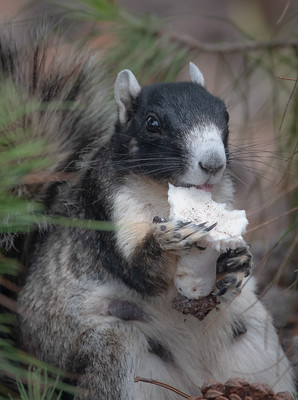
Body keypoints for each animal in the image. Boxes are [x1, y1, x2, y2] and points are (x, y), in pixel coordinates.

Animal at [0, 22, 294, 400]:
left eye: (226, 115)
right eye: (152, 123)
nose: (213, 163)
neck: (163, 189)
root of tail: (197, 380)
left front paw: (237, 261)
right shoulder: (105, 207)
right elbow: (139, 272)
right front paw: (168, 240)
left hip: (257, 342)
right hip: (119, 351)